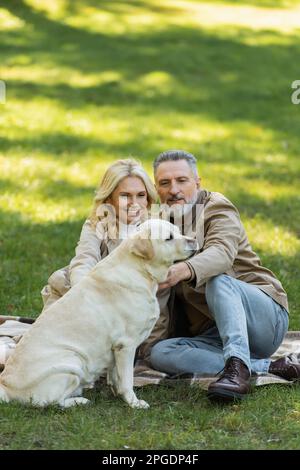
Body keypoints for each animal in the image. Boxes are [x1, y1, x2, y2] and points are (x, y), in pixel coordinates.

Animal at [0, 219, 197, 408]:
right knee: (51, 402)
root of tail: (5, 387)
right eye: (169, 238)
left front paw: (117, 392)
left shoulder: (115, 348)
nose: (194, 240)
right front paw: (134, 403)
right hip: (73, 361)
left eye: (178, 230)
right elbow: (127, 379)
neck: (139, 269)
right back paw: (79, 400)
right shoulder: (126, 344)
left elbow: (116, 375)